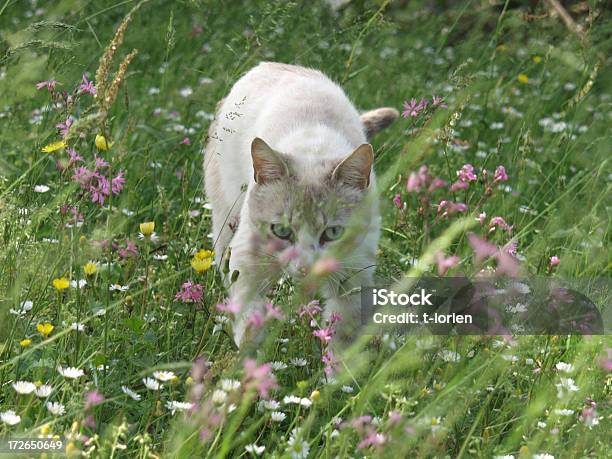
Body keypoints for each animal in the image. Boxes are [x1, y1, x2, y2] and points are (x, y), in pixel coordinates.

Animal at [203, 63, 400, 346]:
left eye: (333, 232)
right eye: (281, 231)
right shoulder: (246, 258)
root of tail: (270, 65)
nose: (306, 267)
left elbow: (342, 335)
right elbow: (249, 317)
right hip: (225, 218)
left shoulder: (355, 273)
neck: (314, 149)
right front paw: (251, 353)